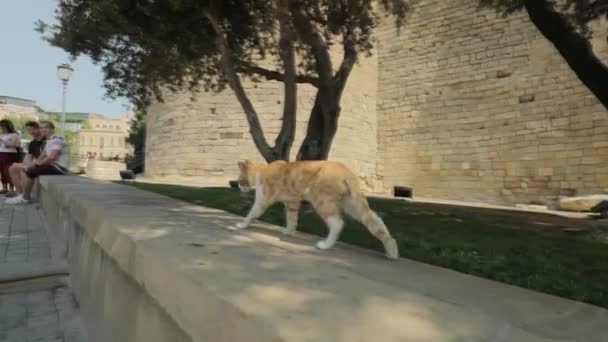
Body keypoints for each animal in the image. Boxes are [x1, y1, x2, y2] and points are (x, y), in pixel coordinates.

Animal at [234, 160, 400, 260]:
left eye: (240, 180)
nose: (239, 188)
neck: (262, 170)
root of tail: (346, 170)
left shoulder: (263, 200)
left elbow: (251, 213)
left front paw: (242, 225)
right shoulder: (292, 202)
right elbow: (292, 219)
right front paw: (288, 231)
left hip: (322, 201)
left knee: (337, 223)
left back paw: (326, 245)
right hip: (352, 205)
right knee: (375, 219)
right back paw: (391, 251)